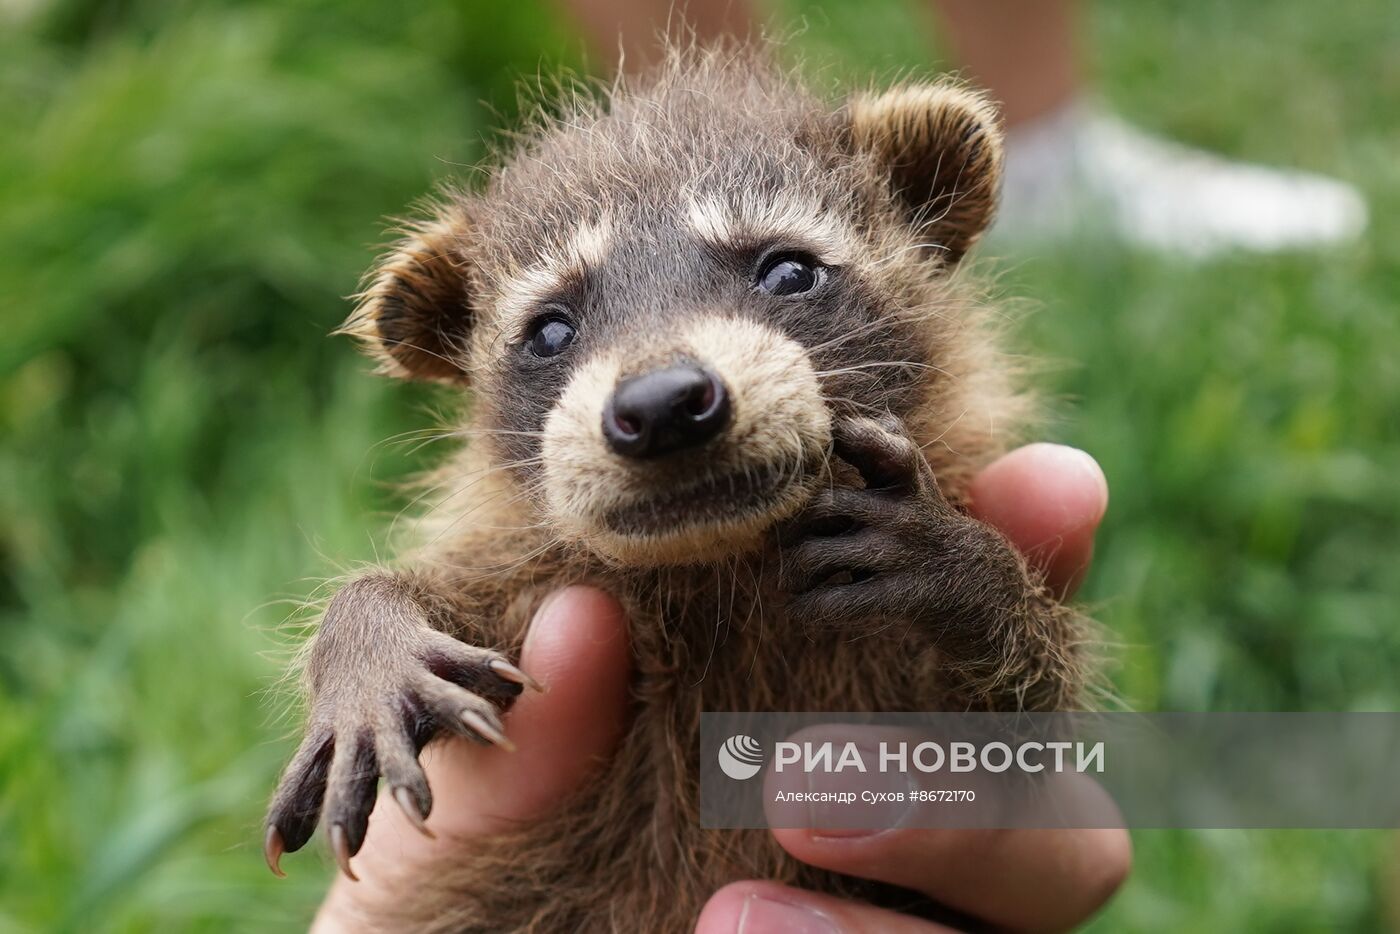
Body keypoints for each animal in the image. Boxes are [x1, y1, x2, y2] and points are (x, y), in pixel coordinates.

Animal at [267, 45, 1086, 934]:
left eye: (788, 270)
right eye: (550, 330)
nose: (660, 406)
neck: (721, 560)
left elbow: (1027, 734)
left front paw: (965, 570)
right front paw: (369, 637)